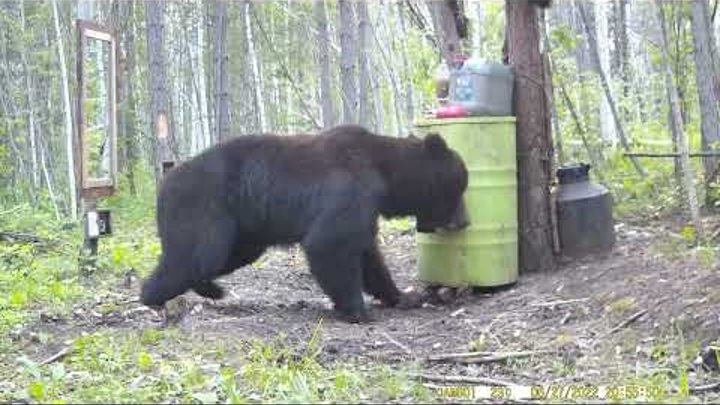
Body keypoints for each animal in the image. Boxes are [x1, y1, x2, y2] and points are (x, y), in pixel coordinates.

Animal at [141, 124, 470, 322]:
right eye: (458, 189)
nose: (465, 222)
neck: (386, 175)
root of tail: (165, 181)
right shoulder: (352, 189)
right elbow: (330, 244)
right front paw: (357, 310)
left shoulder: (368, 208)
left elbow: (368, 254)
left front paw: (403, 295)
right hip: (203, 207)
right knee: (196, 254)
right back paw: (153, 296)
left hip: (246, 231)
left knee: (219, 258)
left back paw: (209, 289)